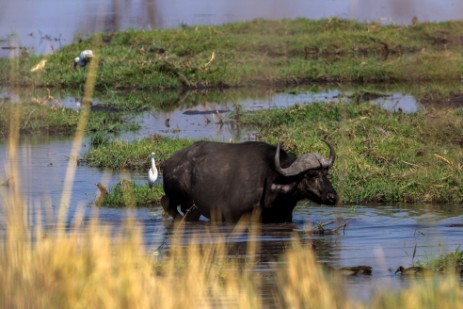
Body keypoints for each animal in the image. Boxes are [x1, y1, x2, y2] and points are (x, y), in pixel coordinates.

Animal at [161, 140, 338, 221]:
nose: (332, 197)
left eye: (326, 174)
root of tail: (168, 164)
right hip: (176, 195)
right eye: (311, 175)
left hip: (193, 208)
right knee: (167, 204)